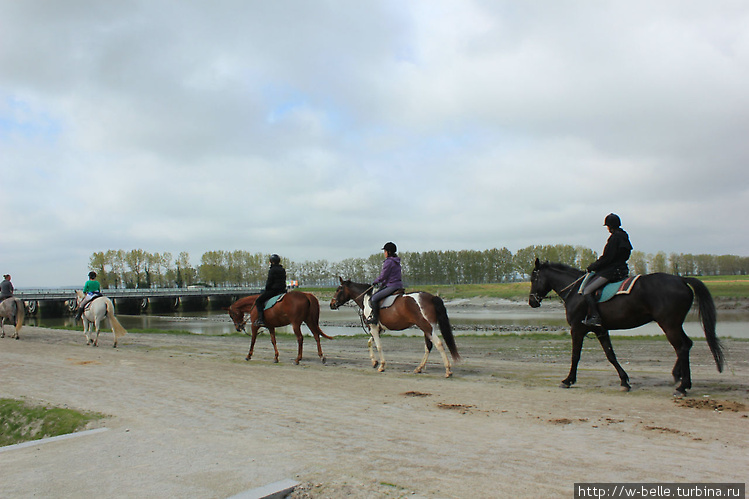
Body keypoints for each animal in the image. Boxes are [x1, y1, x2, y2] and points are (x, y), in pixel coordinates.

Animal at [330, 278, 458, 378]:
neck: (367, 299)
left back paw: (448, 370)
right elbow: (370, 342)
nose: (331, 304)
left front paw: (381, 365)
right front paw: (374, 361)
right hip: (427, 329)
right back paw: (419, 368)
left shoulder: (374, 327)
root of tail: (431, 297)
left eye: (338, 289)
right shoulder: (379, 329)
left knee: (438, 344)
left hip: (427, 327)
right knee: (428, 346)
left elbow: (379, 346)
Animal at [528, 260, 720, 396]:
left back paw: (682, 387)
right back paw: (679, 378)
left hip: (669, 324)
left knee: (681, 348)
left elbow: (575, 356)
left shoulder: (577, 329)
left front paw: (568, 380)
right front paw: (624, 381)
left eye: (534, 278)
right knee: (687, 344)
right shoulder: (600, 330)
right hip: (675, 324)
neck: (576, 291)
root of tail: (680, 278)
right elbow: (610, 355)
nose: (532, 301)